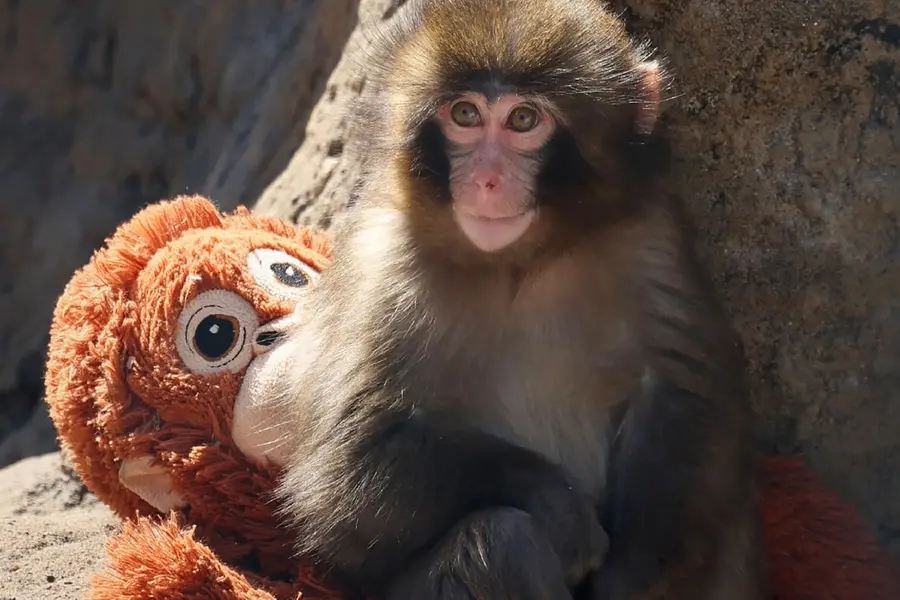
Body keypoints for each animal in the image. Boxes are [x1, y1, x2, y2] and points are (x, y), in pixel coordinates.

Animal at [272, 0, 770, 599]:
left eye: (524, 121)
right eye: (465, 114)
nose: (487, 180)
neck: (518, 264)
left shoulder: (650, 238)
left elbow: (686, 398)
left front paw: (630, 576)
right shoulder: (382, 268)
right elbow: (344, 475)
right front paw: (556, 505)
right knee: (499, 542)